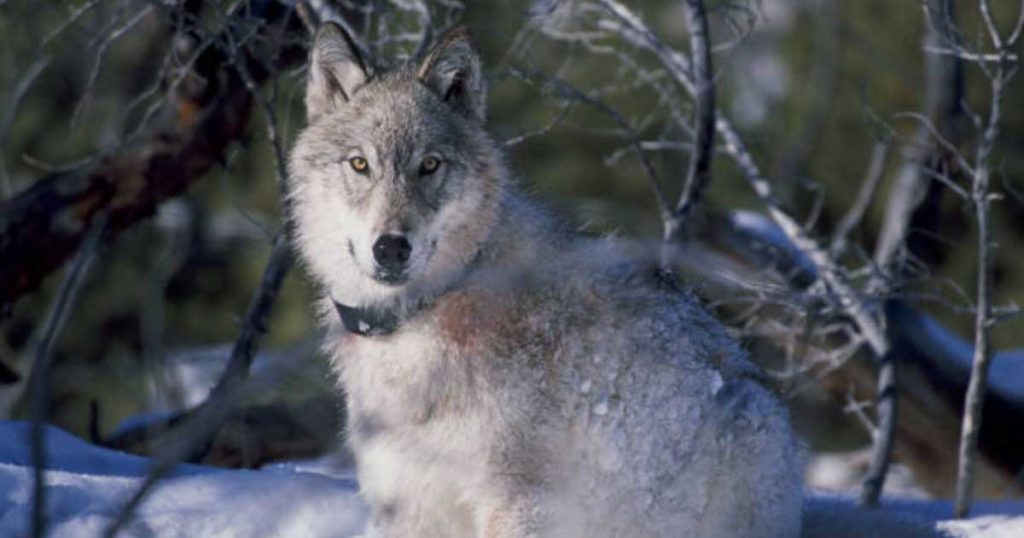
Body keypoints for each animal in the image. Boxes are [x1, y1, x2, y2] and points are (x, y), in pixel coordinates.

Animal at [286, 21, 803, 538]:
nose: (391, 247)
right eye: (359, 164)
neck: (423, 314)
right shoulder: (408, 504)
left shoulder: (520, 503)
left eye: (429, 165)